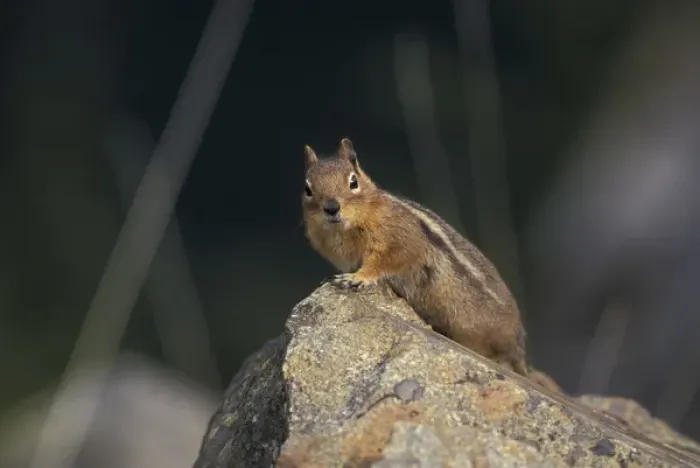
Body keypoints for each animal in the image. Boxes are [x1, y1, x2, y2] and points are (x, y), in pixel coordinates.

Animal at [301, 137, 538, 380]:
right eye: (307, 188)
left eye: (353, 182)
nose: (331, 208)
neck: (344, 230)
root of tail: (519, 349)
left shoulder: (398, 242)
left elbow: (383, 262)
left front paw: (357, 278)